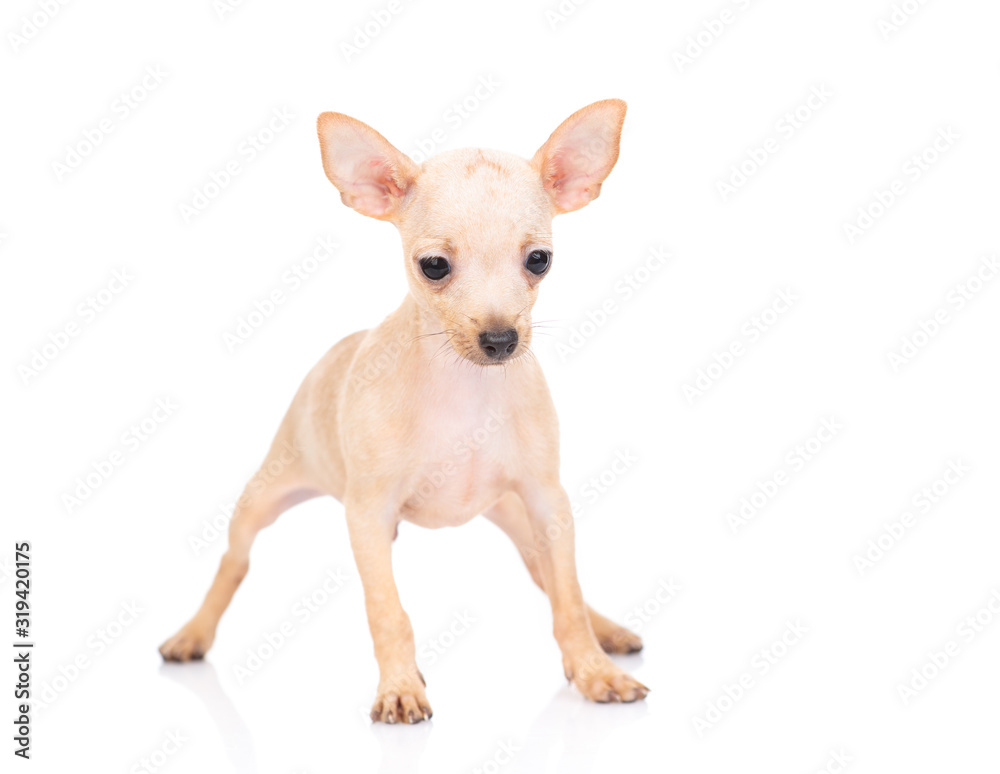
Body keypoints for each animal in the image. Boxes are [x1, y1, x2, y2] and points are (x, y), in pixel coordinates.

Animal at [160, 100, 648, 724]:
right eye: (433, 266)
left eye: (539, 260)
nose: (500, 340)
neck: (465, 389)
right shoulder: (367, 517)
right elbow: (387, 611)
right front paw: (399, 686)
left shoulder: (547, 503)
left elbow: (567, 594)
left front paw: (593, 668)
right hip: (264, 497)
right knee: (234, 561)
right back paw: (192, 634)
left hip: (516, 517)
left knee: (546, 576)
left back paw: (606, 631)